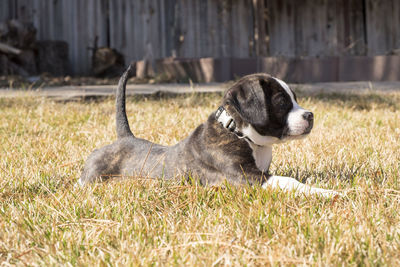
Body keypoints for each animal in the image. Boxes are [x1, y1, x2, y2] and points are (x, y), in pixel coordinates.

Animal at [79, 66, 340, 198]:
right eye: (282, 102)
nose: (310, 115)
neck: (238, 131)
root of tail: (125, 138)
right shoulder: (246, 178)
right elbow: (289, 181)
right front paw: (328, 192)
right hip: (92, 176)